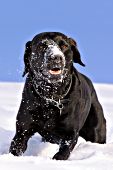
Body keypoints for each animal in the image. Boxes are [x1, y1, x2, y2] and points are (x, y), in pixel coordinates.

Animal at [9, 31, 106, 159]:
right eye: (42, 46)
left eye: (64, 45)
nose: (56, 57)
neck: (51, 97)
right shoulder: (22, 131)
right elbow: (15, 148)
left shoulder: (70, 134)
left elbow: (62, 153)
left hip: (96, 130)